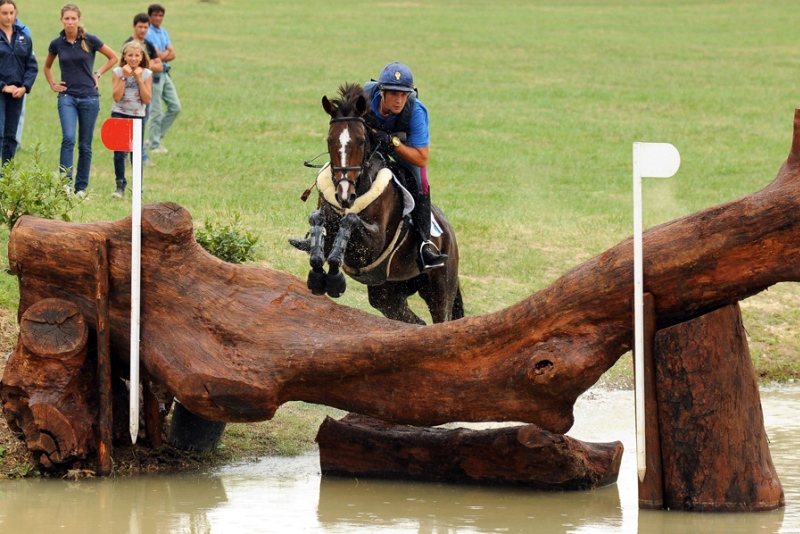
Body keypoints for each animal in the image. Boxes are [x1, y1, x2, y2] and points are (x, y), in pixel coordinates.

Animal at [290, 84, 462, 326]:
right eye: (329, 140)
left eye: (361, 141)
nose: (344, 194)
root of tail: (450, 235)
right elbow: (319, 220)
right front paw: (318, 276)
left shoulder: (373, 245)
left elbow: (350, 221)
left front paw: (334, 279)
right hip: (388, 295)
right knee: (415, 322)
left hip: (439, 288)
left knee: (441, 318)